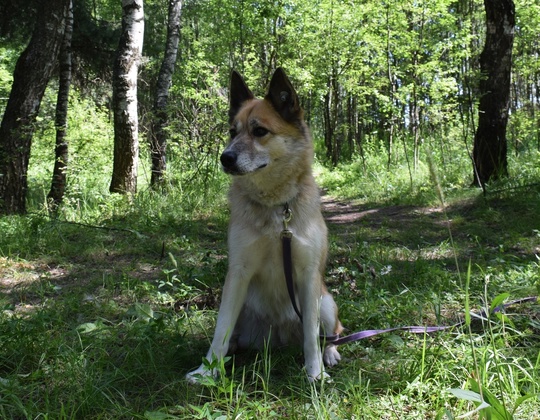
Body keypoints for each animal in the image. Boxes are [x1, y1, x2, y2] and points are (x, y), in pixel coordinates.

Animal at [186, 66, 344, 384]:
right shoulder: (238, 274)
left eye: (260, 131)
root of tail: (278, 338)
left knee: (332, 333)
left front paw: (315, 373)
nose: (225, 158)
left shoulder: (308, 277)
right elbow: (220, 331)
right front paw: (206, 371)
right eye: (232, 132)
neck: (276, 207)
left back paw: (330, 353)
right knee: (232, 334)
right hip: (243, 305)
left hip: (325, 302)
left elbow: (311, 337)